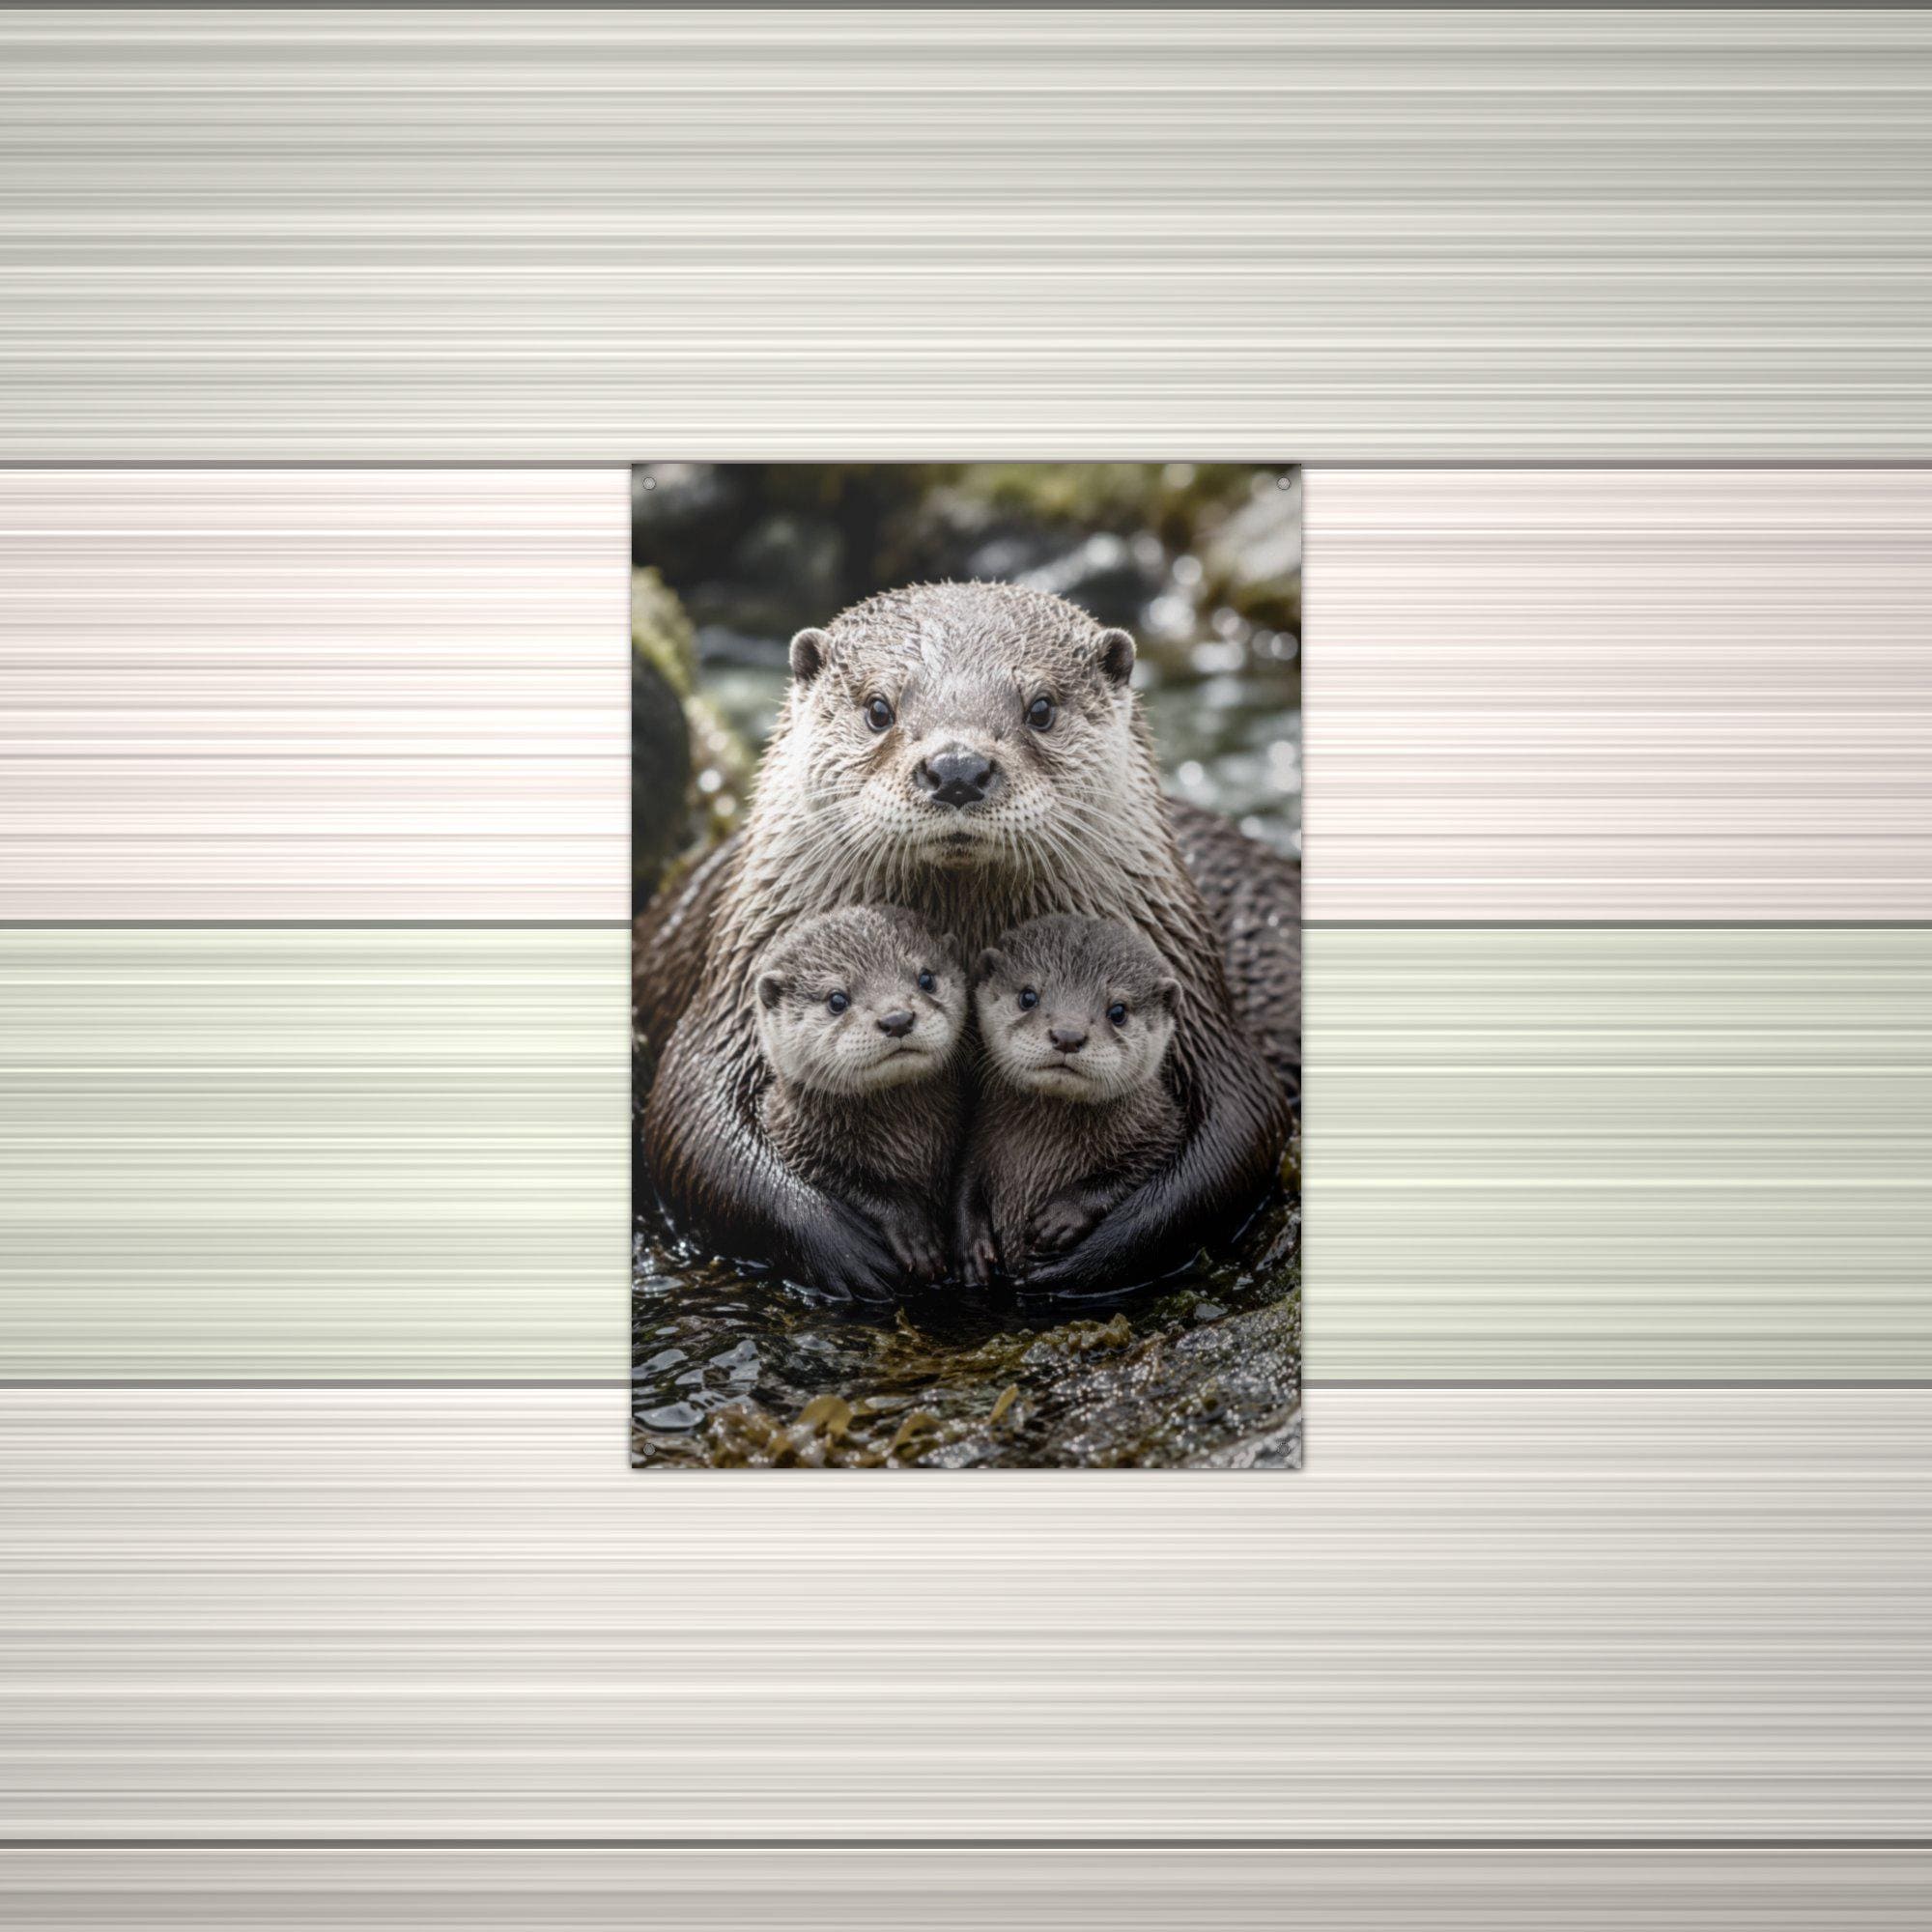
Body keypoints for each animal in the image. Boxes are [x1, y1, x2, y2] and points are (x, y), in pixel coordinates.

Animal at [753, 906, 965, 1284]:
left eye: (926, 979)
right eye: (837, 999)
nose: (897, 1018)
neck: (908, 1142)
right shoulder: (797, 1143)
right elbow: (855, 1186)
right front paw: (915, 1234)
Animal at [955, 916, 1186, 1284]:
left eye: (1118, 1011)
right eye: (1028, 996)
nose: (1067, 1035)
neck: (1043, 1147)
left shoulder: (1164, 1127)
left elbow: (1136, 1169)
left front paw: (1063, 1215)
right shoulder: (978, 1135)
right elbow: (965, 1183)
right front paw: (972, 1244)